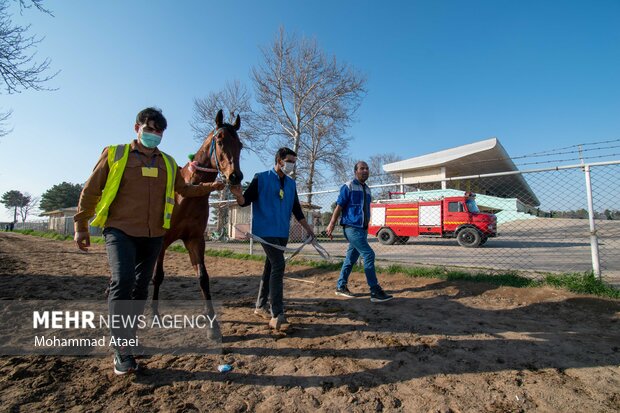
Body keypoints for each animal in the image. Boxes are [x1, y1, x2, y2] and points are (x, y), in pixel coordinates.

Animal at [151, 109, 243, 332]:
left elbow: (203, 277)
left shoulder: (195, 239)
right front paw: (154, 313)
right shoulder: (162, 241)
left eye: (241, 145)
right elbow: (158, 275)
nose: (235, 176)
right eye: (220, 140)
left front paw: (212, 324)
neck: (187, 193)